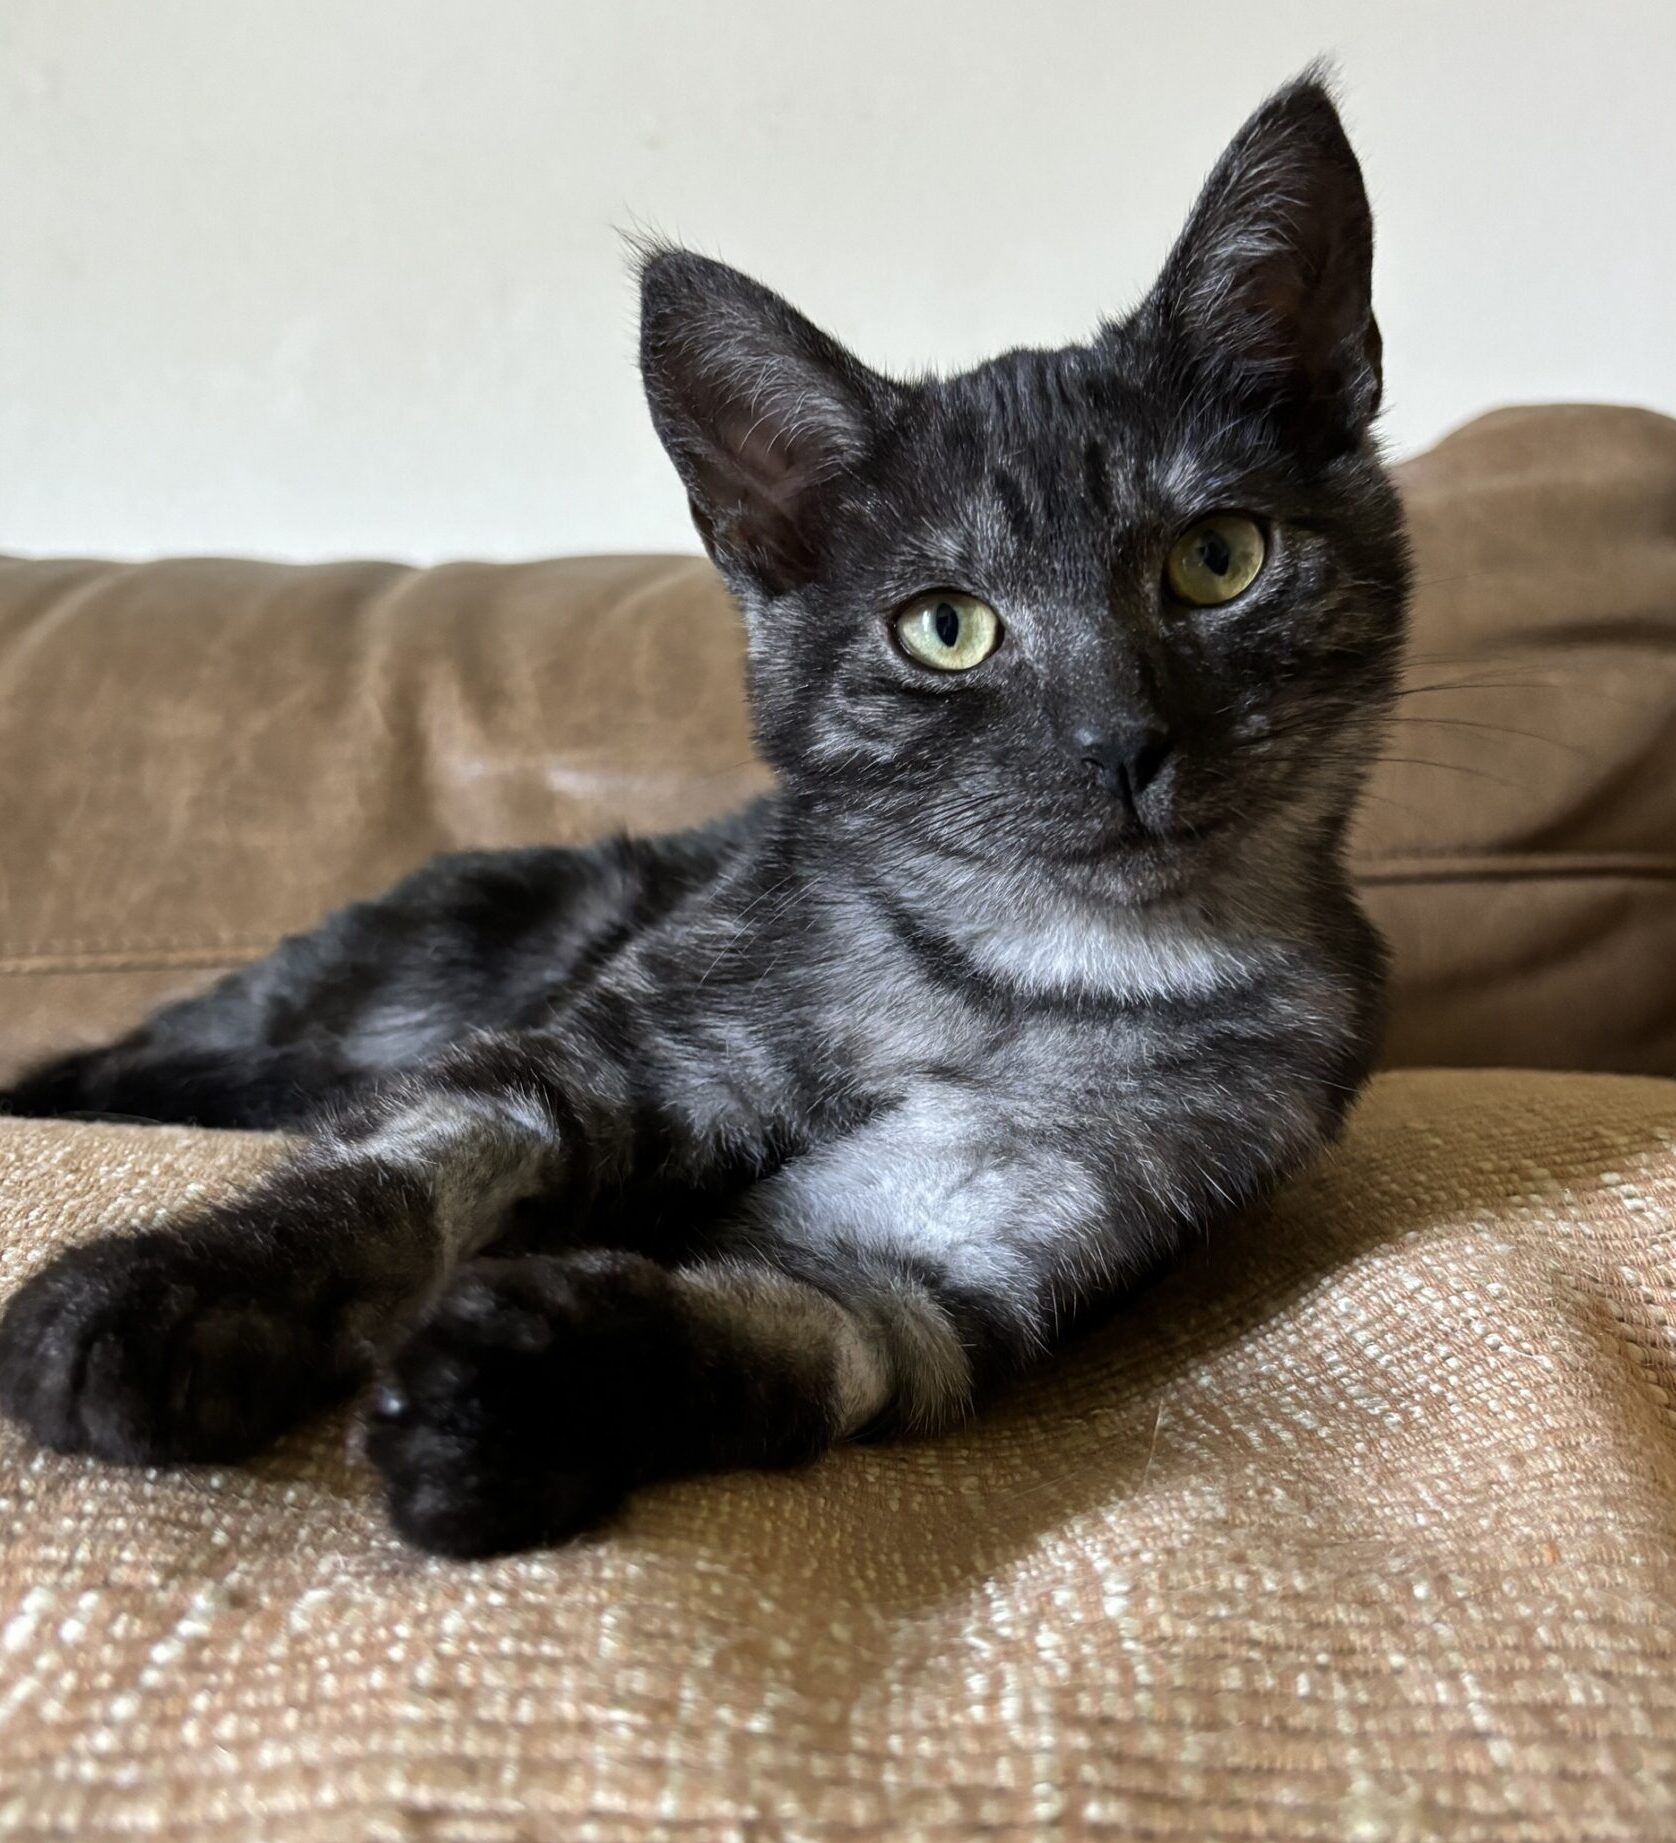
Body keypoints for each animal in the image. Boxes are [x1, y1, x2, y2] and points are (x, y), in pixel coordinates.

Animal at [0, 72, 1407, 1558]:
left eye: (1219, 558)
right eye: (946, 628)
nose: (1121, 742)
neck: (1008, 971)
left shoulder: (929, 1252)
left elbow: (782, 1339)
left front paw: (510, 1400)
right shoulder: (587, 1064)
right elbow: (409, 1162)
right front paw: (162, 1299)